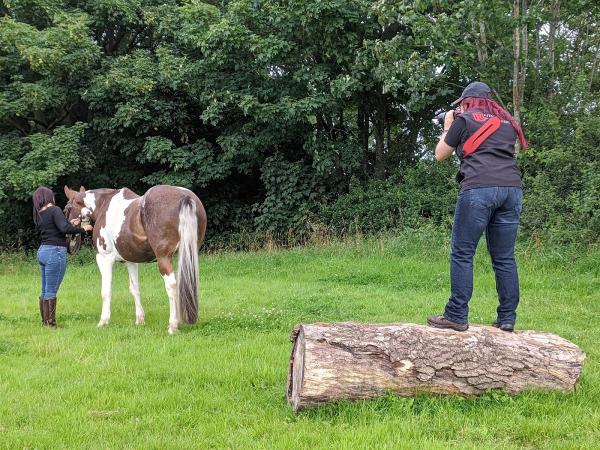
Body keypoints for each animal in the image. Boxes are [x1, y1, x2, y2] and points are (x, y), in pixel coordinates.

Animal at [61, 184, 206, 334]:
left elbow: (106, 291)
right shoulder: (131, 261)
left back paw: (172, 326)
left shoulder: (104, 259)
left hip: (164, 258)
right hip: (188, 255)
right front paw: (140, 320)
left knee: (171, 286)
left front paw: (103, 321)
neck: (103, 205)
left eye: (66, 209)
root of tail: (185, 197)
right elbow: (134, 288)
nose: (69, 241)